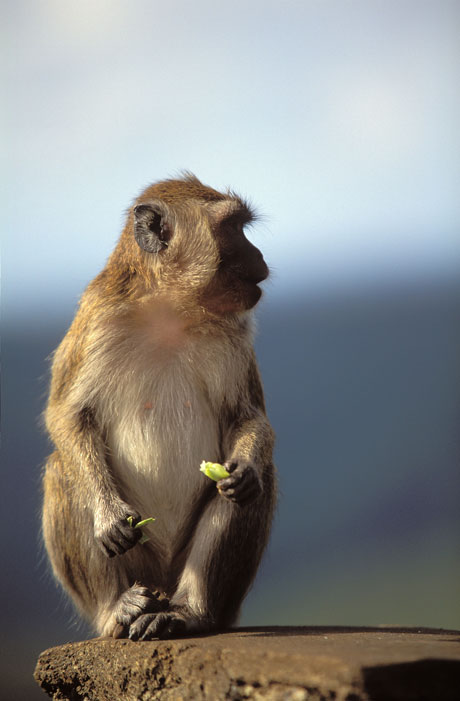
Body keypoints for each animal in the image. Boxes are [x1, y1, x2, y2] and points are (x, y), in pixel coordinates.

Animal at [41, 171, 274, 640]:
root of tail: (163, 583)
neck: (171, 307)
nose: (259, 255)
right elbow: (67, 415)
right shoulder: (98, 318)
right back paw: (118, 608)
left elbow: (247, 418)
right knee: (61, 471)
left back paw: (189, 612)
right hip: (139, 564)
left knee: (253, 487)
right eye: (232, 228)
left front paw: (244, 471)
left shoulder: (234, 334)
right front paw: (108, 516)